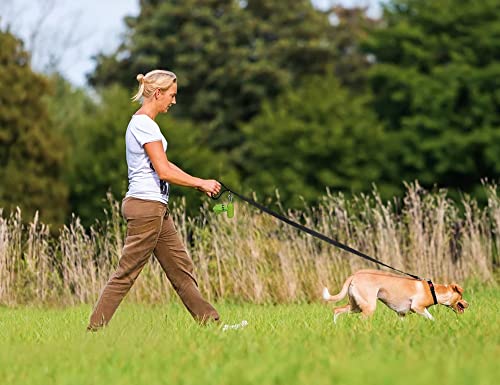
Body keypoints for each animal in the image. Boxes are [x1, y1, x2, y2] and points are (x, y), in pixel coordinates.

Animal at [324, 268, 468, 320]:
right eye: (461, 296)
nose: (468, 304)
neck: (433, 290)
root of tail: (355, 274)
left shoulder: (401, 314)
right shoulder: (418, 307)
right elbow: (431, 318)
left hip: (355, 306)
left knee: (337, 310)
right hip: (368, 306)